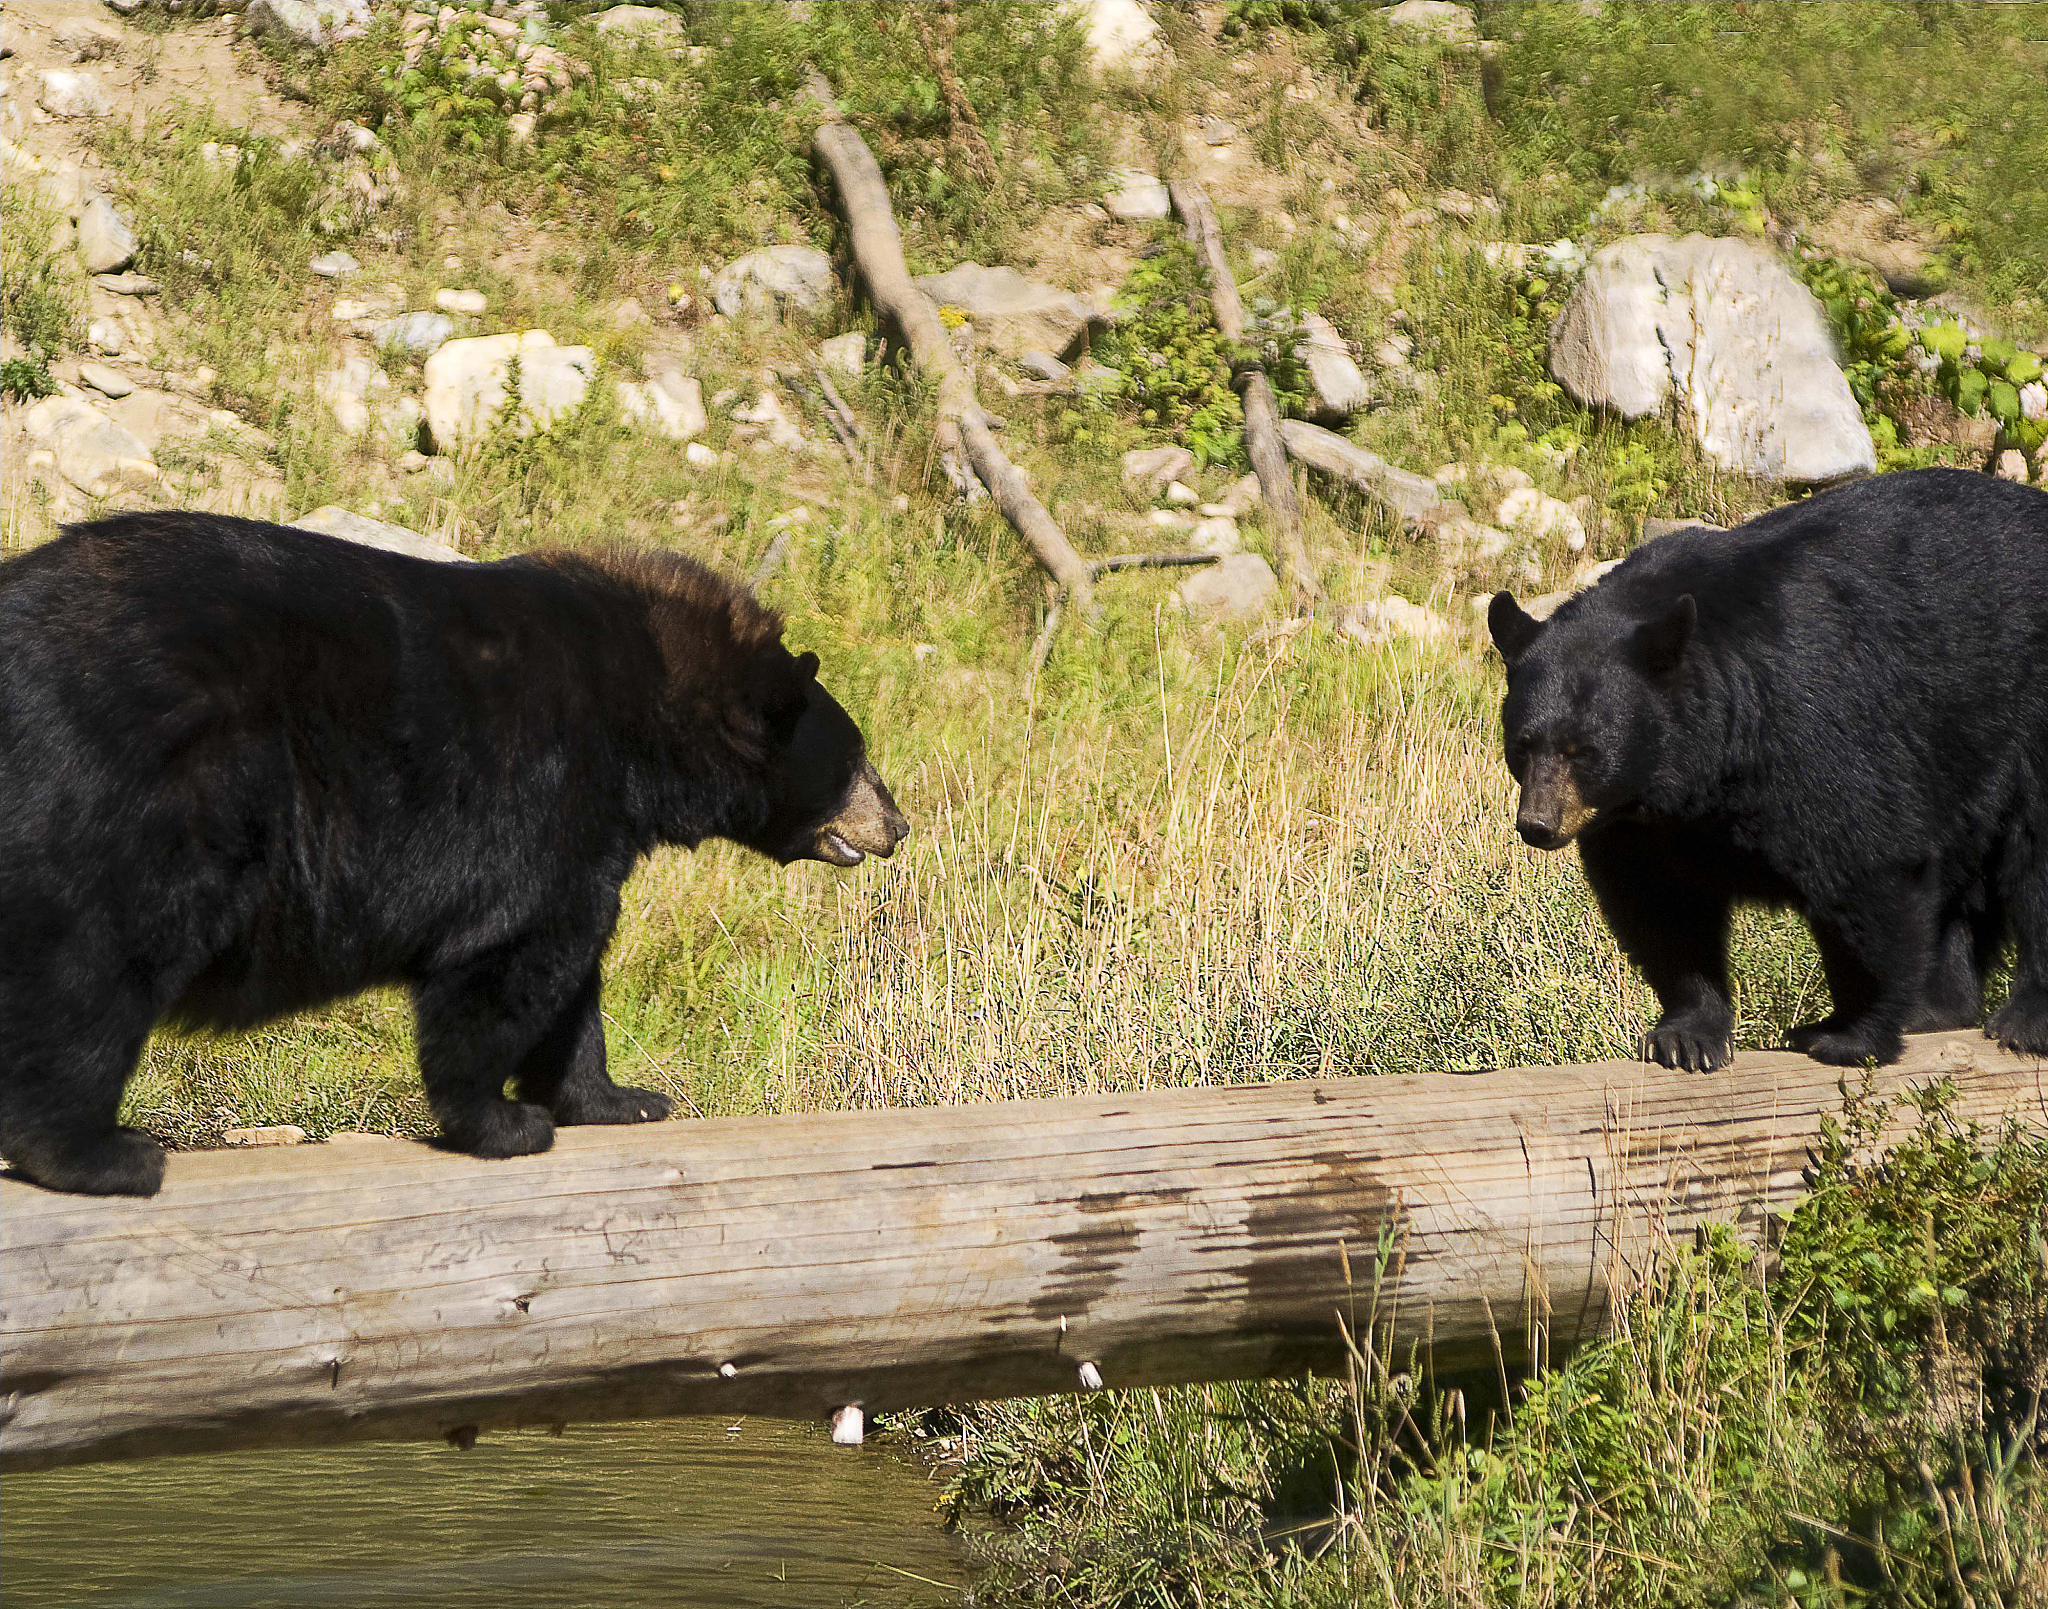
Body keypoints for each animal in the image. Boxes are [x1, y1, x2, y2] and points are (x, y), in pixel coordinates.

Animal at [0, 511, 907, 1196]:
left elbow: (574, 978)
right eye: (858, 756)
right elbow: (510, 956)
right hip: (137, 791)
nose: (897, 824)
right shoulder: (542, 790)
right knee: (96, 964)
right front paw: (502, 1121)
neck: (643, 702)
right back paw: (98, 1153)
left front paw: (619, 1097)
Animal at [1487, 466, 2048, 1073]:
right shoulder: (1647, 820)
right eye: (1523, 746)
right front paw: (1689, 1036)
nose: (1537, 825)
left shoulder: (1820, 721)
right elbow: (1661, 902)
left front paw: (1849, 1034)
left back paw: (2023, 1021)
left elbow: (1864, 871)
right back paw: (1940, 1010)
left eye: (1582, 750)